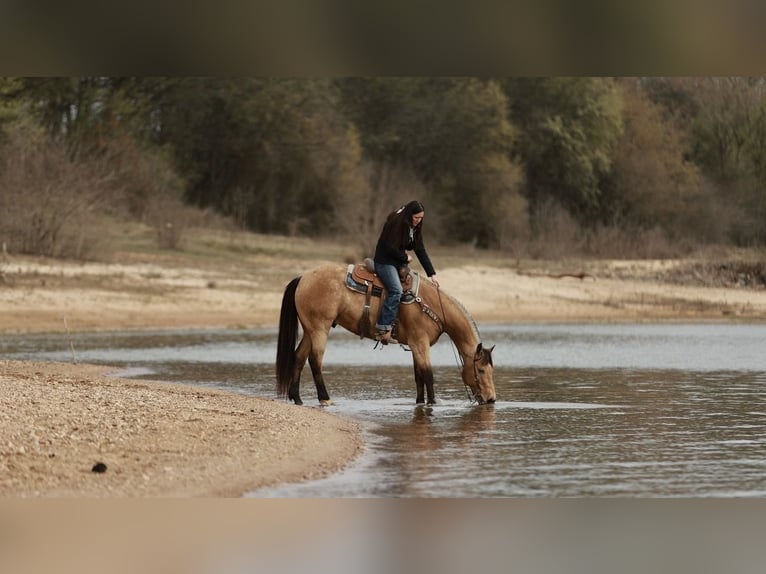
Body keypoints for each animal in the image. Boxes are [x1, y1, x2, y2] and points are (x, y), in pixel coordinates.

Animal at [276, 262, 496, 406]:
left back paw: (297, 398)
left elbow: (418, 377)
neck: (430, 304)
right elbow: (428, 375)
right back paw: (325, 398)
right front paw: (433, 403)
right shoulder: (420, 343)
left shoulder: (415, 346)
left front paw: (420, 403)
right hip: (320, 328)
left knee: (298, 357)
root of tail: (303, 278)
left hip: (310, 330)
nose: (491, 399)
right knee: (315, 361)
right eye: (481, 370)